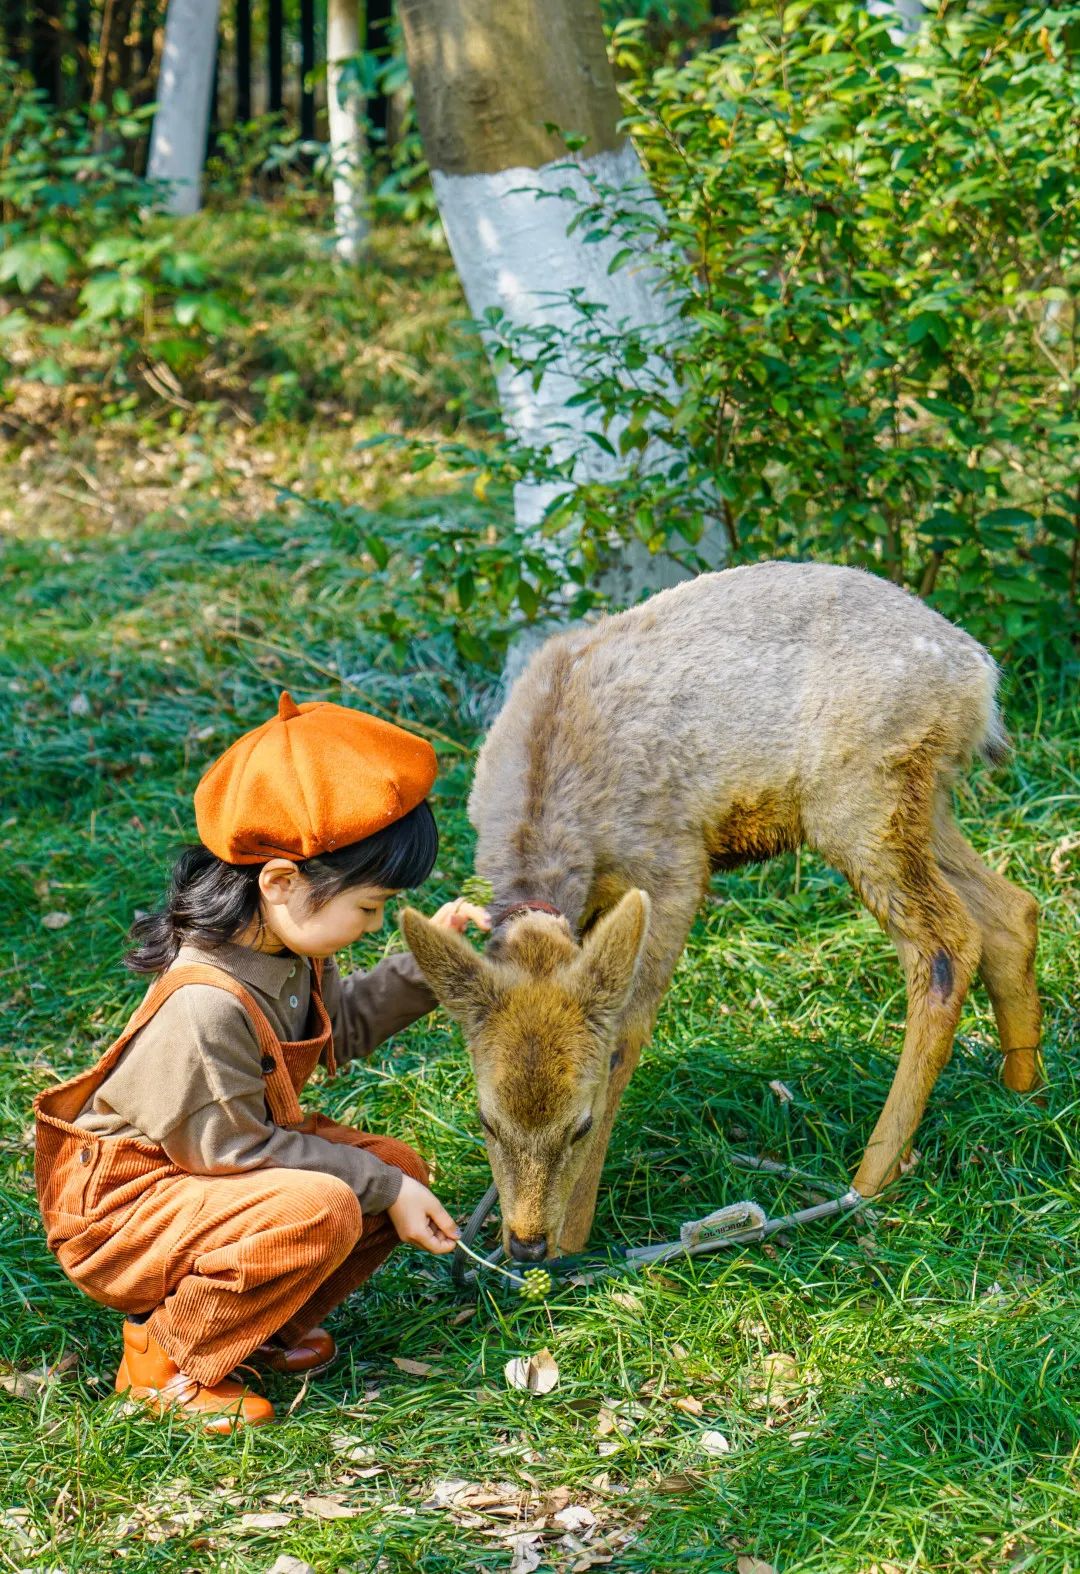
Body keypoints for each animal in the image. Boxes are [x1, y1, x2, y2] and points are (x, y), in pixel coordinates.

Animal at [401, 566, 1045, 1265]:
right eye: (485, 1119)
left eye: (581, 1123)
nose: (525, 1245)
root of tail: (980, 676)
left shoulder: (674, 867)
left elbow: (624, 1036)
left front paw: (576, 1239)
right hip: (921, 804)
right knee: (1011, 909)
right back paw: (1023, 1093)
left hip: (861, 796)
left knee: (945, 940)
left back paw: (869, 1178)